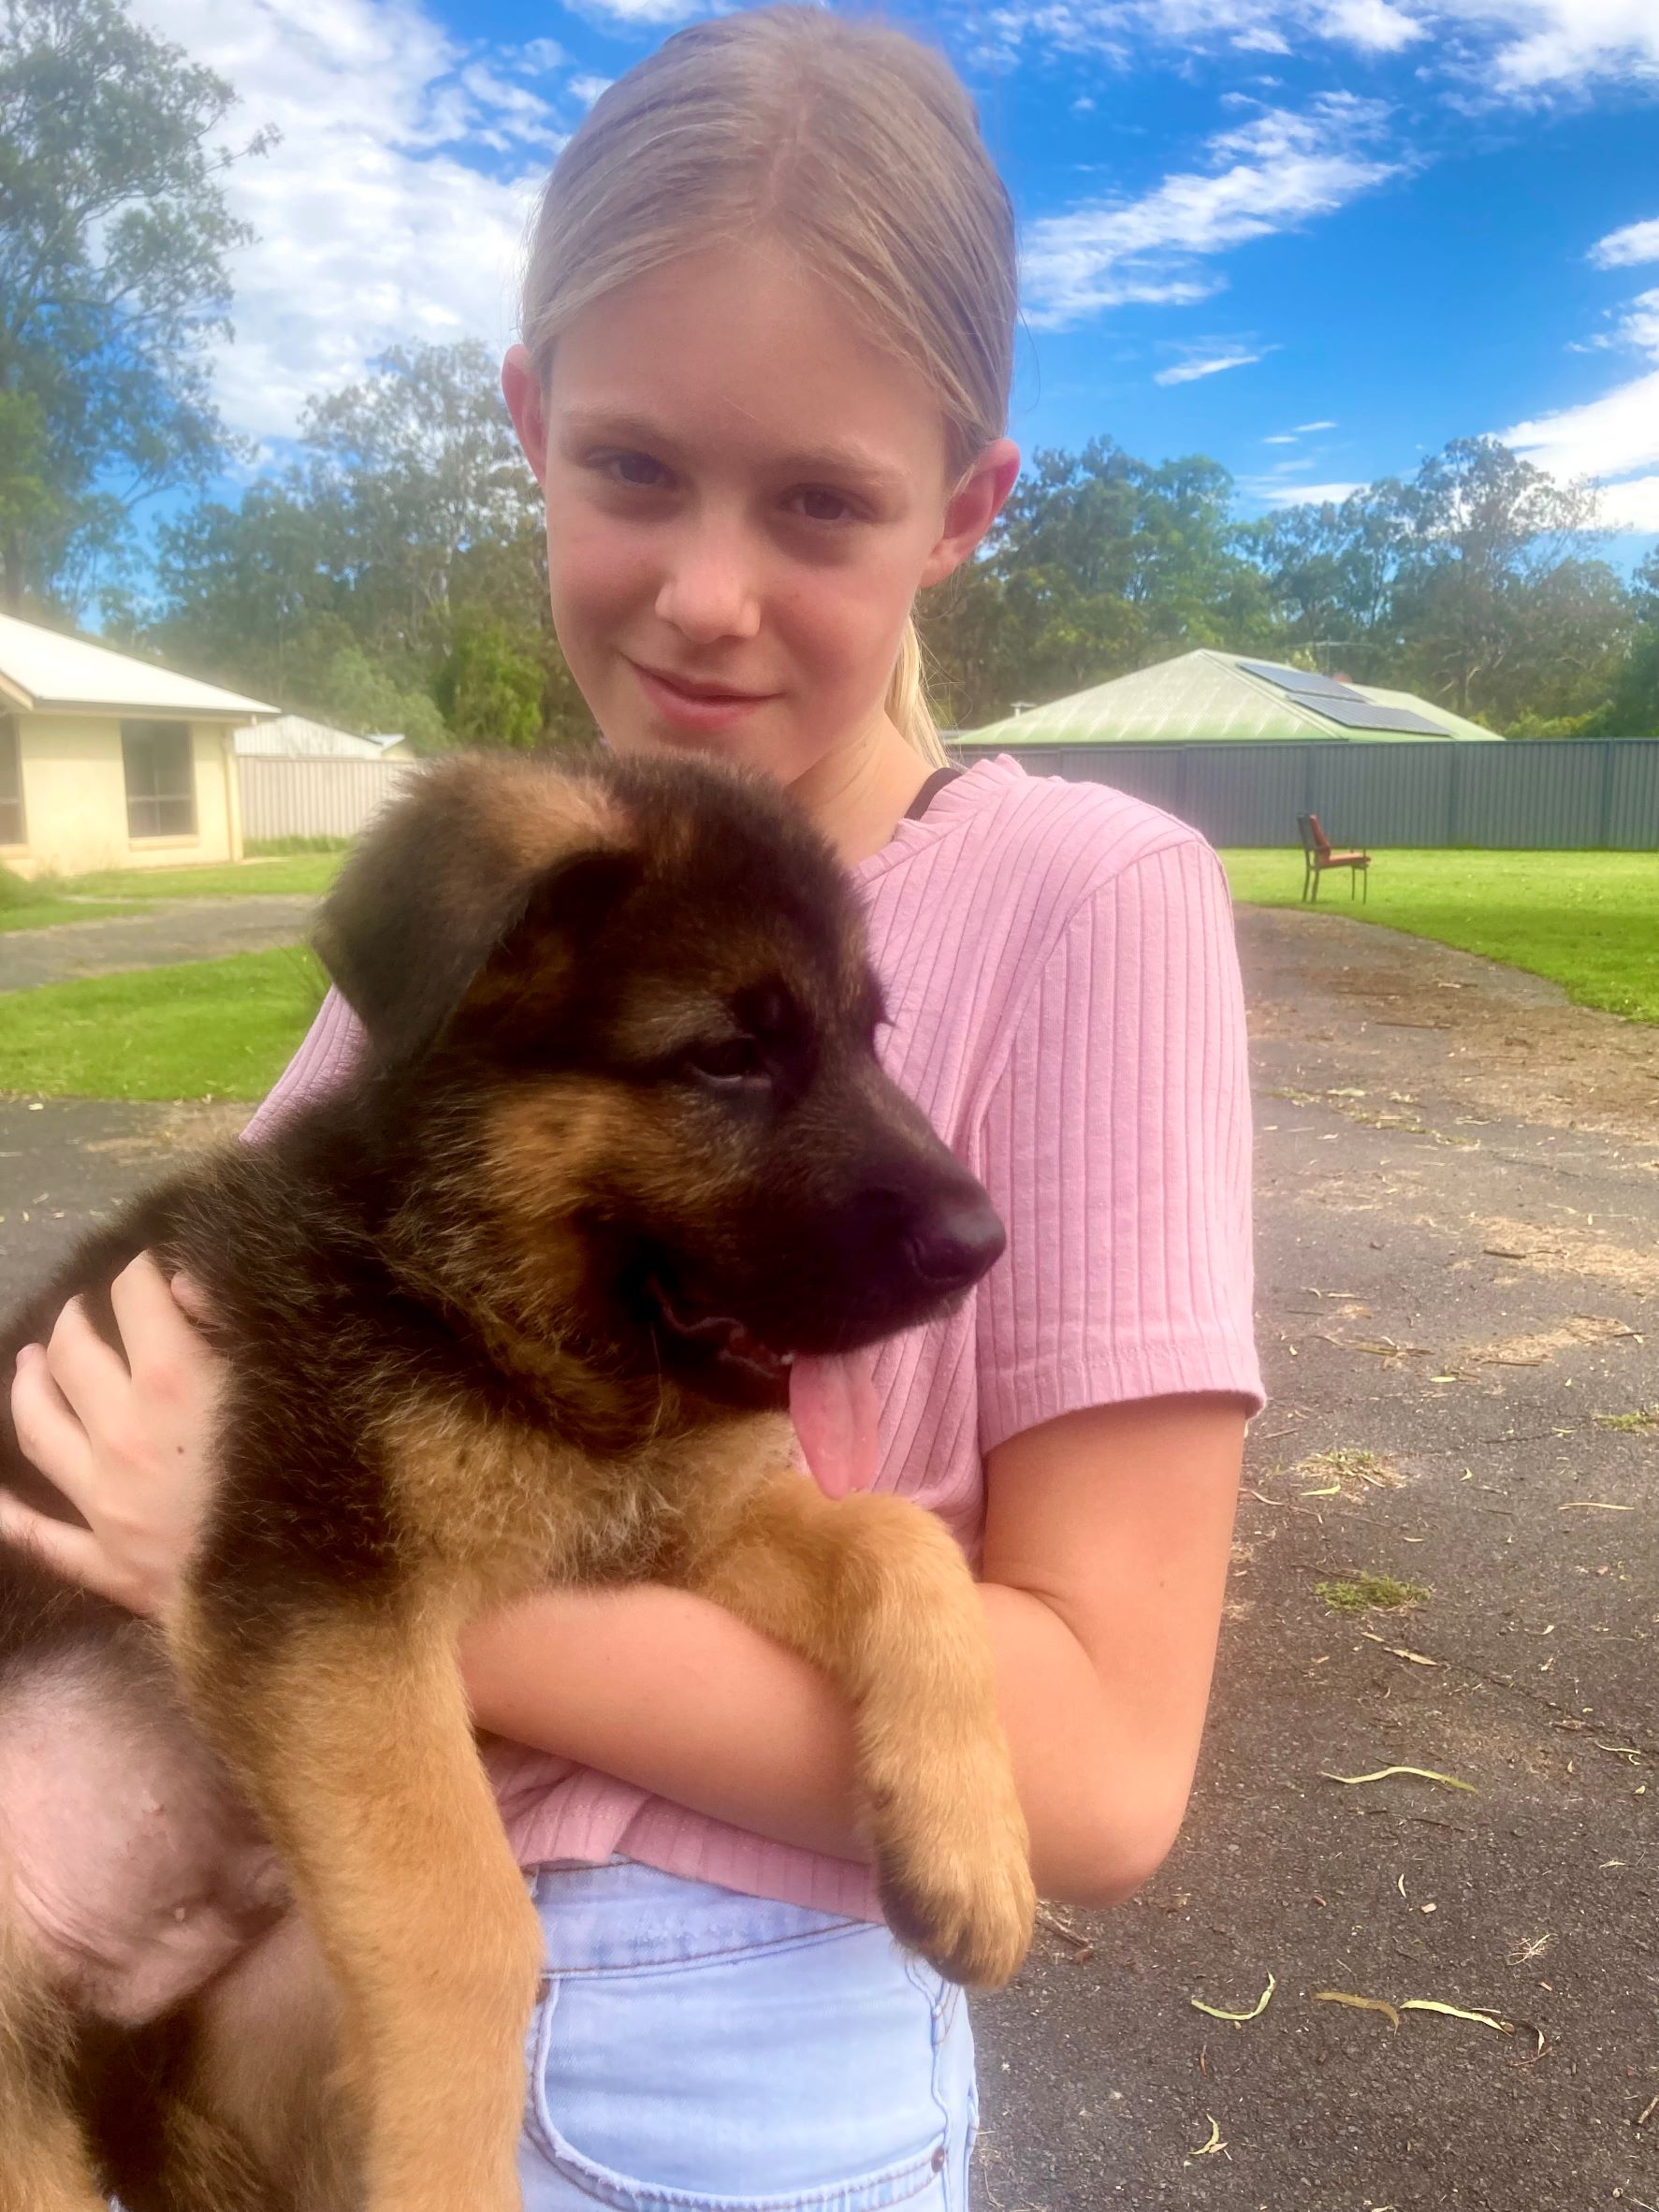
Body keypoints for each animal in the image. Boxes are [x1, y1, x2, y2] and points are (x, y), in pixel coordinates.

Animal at [0, 756, 1035, 2212]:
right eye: (726, 1057)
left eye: (868, 1039)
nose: (984, 1247)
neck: (481, 1301)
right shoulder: (321, 1589)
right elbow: (467, 1925)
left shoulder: (679, 1532)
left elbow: (899, 1540)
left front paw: (969, 1849)